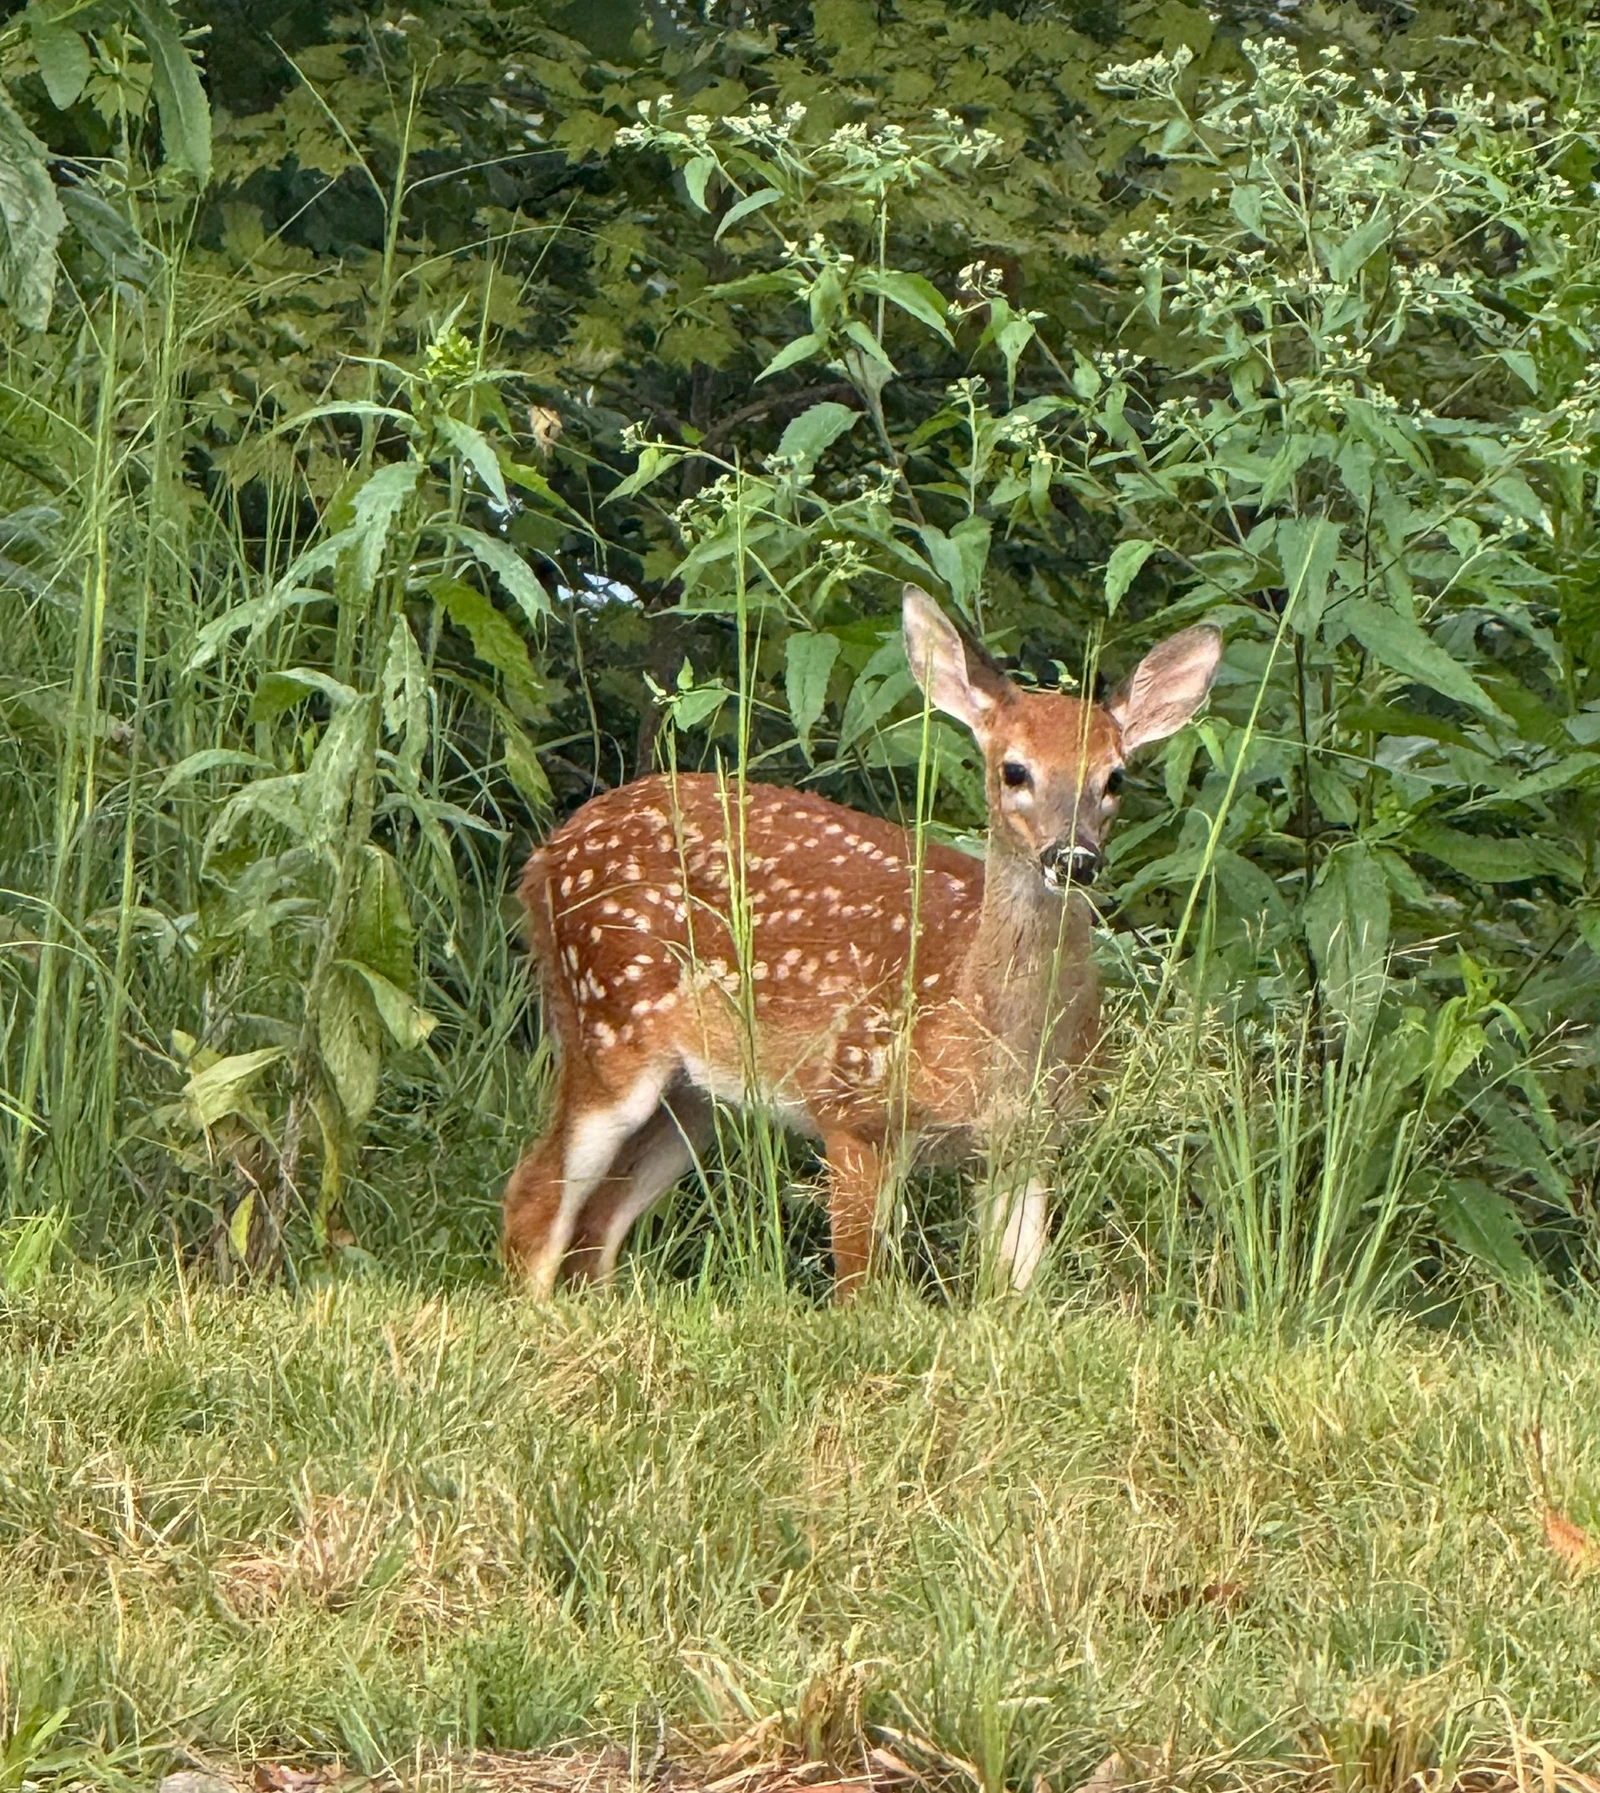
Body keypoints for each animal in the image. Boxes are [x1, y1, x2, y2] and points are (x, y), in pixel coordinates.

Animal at [504, 584, 1222, 1299]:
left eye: (1114, 778)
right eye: (1015, 770)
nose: (1073, 857)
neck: (984, 1024)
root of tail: (541, 858)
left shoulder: (1026, 1140)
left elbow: (1013, 1293)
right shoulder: (853, 1105)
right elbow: (860, 1293)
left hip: (695, 1092)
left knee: (597, 1220)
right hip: (609, 1025)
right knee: (533, 1197)